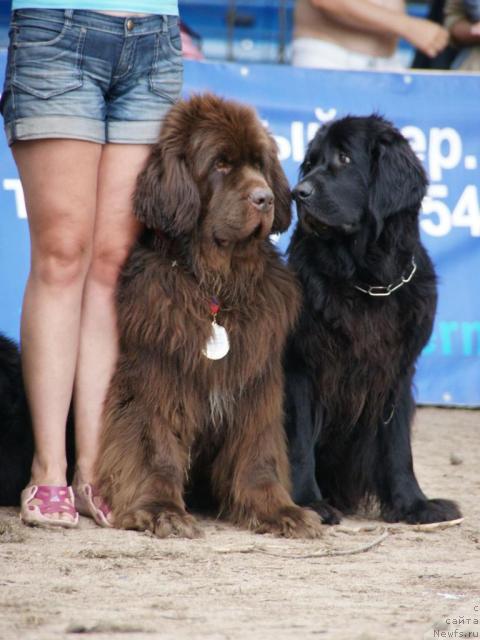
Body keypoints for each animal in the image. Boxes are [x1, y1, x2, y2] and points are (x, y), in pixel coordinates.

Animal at [94, 92, 322, 536]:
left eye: (259, 164)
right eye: (220, 164)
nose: (265, 198)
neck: (217, 287)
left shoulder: (255, 383)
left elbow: (257, 452)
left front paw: (279, 511)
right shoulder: (157, 376)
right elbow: (155, 446)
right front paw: (161, 509)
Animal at [284, 115, 462, 524]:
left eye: (345, 158)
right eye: (311, 162)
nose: (297, 192)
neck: (368, 280)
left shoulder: (396, 371)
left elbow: (397, 446)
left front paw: (414, 503)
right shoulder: (300, 368)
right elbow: (299, 442)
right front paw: (308, 502)